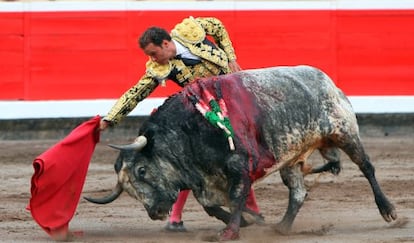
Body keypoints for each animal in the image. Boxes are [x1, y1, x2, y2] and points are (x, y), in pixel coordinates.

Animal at [85, 65, 398, 240]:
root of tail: (327, 81)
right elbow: (211, 206)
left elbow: (236, 197)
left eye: (141, 170)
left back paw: (388, 210)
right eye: (128, 190)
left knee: (366, 167)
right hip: (290, 158)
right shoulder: (203, 181)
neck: (188, 131)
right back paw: (281, 227)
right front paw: (249, 221)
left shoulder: (239, 166)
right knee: (298, 192)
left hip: (344, 132)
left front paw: (231, 232)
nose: (155, 212)